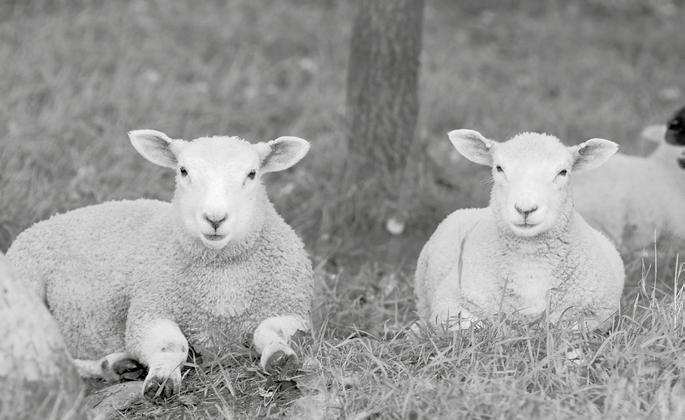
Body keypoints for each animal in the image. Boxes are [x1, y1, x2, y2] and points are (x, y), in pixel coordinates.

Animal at [5, 130, 314, 402]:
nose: (215, 218)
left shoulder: (295, 310)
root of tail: (49, 219)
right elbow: (172, 345)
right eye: (183, 171)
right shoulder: (149, 311)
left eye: (252, 174)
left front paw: (280, 357)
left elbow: (268, 330)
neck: (222, 274)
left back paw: (116, 366)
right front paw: (162, 380)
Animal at [414, 130, 624, 330]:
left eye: (563, 172)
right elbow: (474, 326)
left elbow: (571, 328)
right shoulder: (449, 302)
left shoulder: (602, 313)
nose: (525, 209)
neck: (529, 265)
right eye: (499, 168)